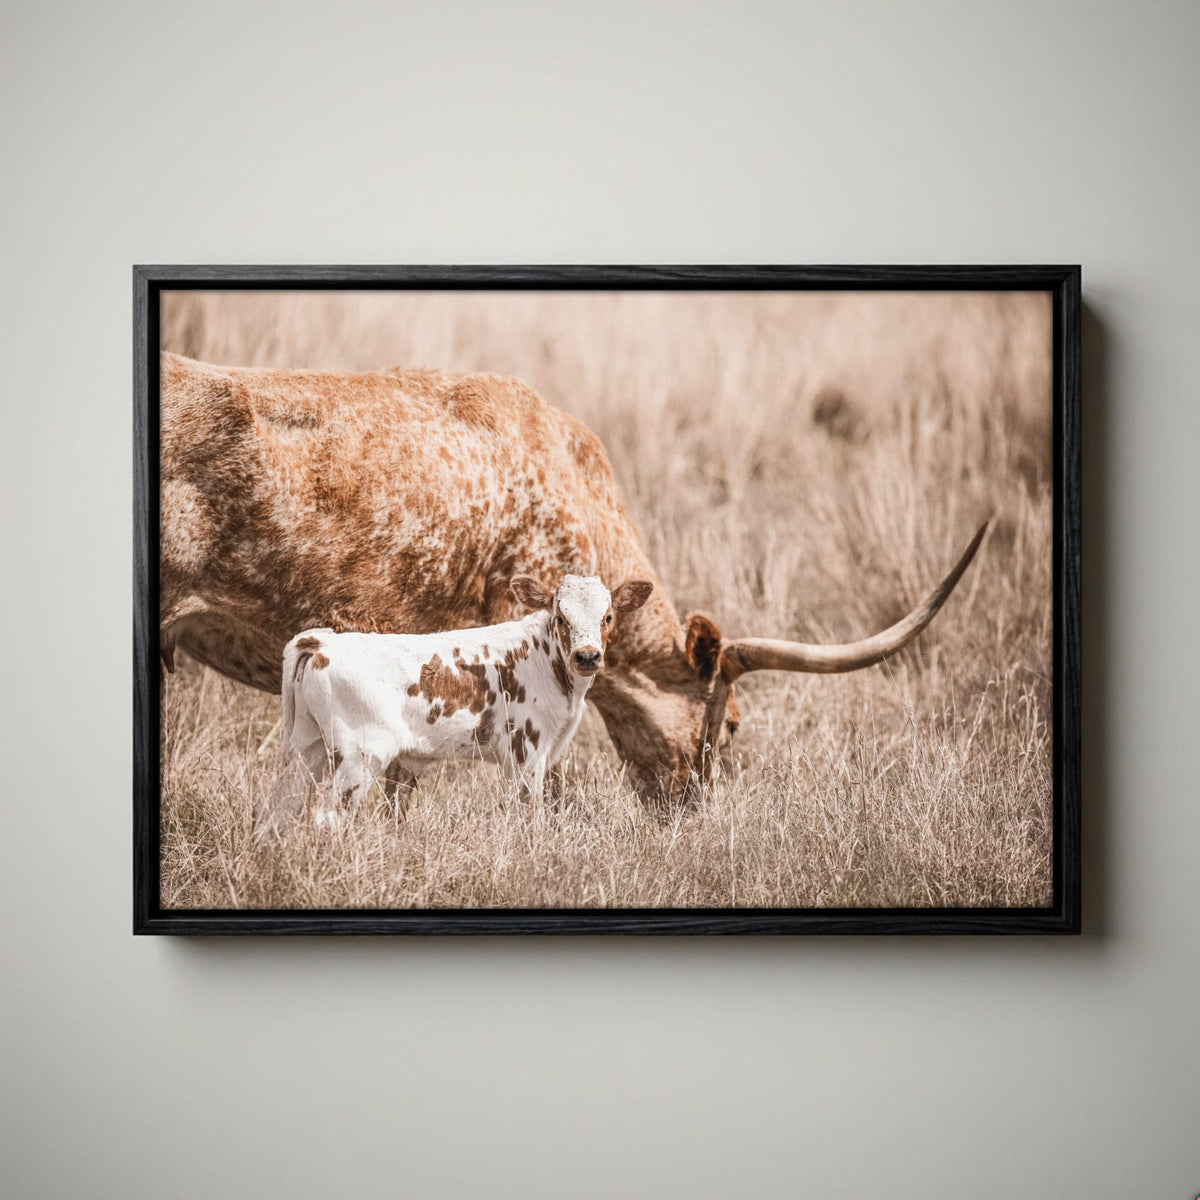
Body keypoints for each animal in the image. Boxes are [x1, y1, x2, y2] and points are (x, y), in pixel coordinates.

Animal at [264, 574, 652, 833]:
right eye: (560, 617)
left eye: (607, 617)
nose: (587, 656)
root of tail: (323, 642)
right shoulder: (526, 753)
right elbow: (529, 814)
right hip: (361, 754)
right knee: (327, 816)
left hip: (309, 747)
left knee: (274, 810)